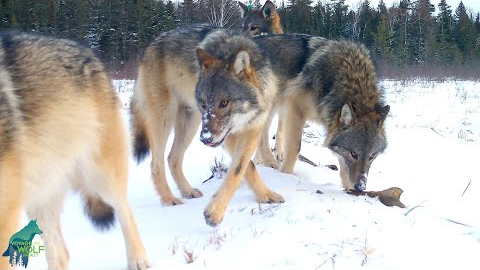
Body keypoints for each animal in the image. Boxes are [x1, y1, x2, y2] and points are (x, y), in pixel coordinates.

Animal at [0, 32, 149, 270]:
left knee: (125, 211)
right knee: (61, 254)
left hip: (102, 178)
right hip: (38, 196)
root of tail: (88, 52)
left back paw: (139, 259)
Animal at [129, 0, 284, 207]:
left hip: (191, 123)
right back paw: (169, 199)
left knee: (172, 158)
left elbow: (245, 163)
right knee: (156, 163)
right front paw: (265, 194)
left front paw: (265, 192)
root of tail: (149, 47)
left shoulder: (253, 127)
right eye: (242, 26)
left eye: (254, 28)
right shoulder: (227, 135)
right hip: (166, 121)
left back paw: (187, 191)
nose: (206, 140)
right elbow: (249, 166)